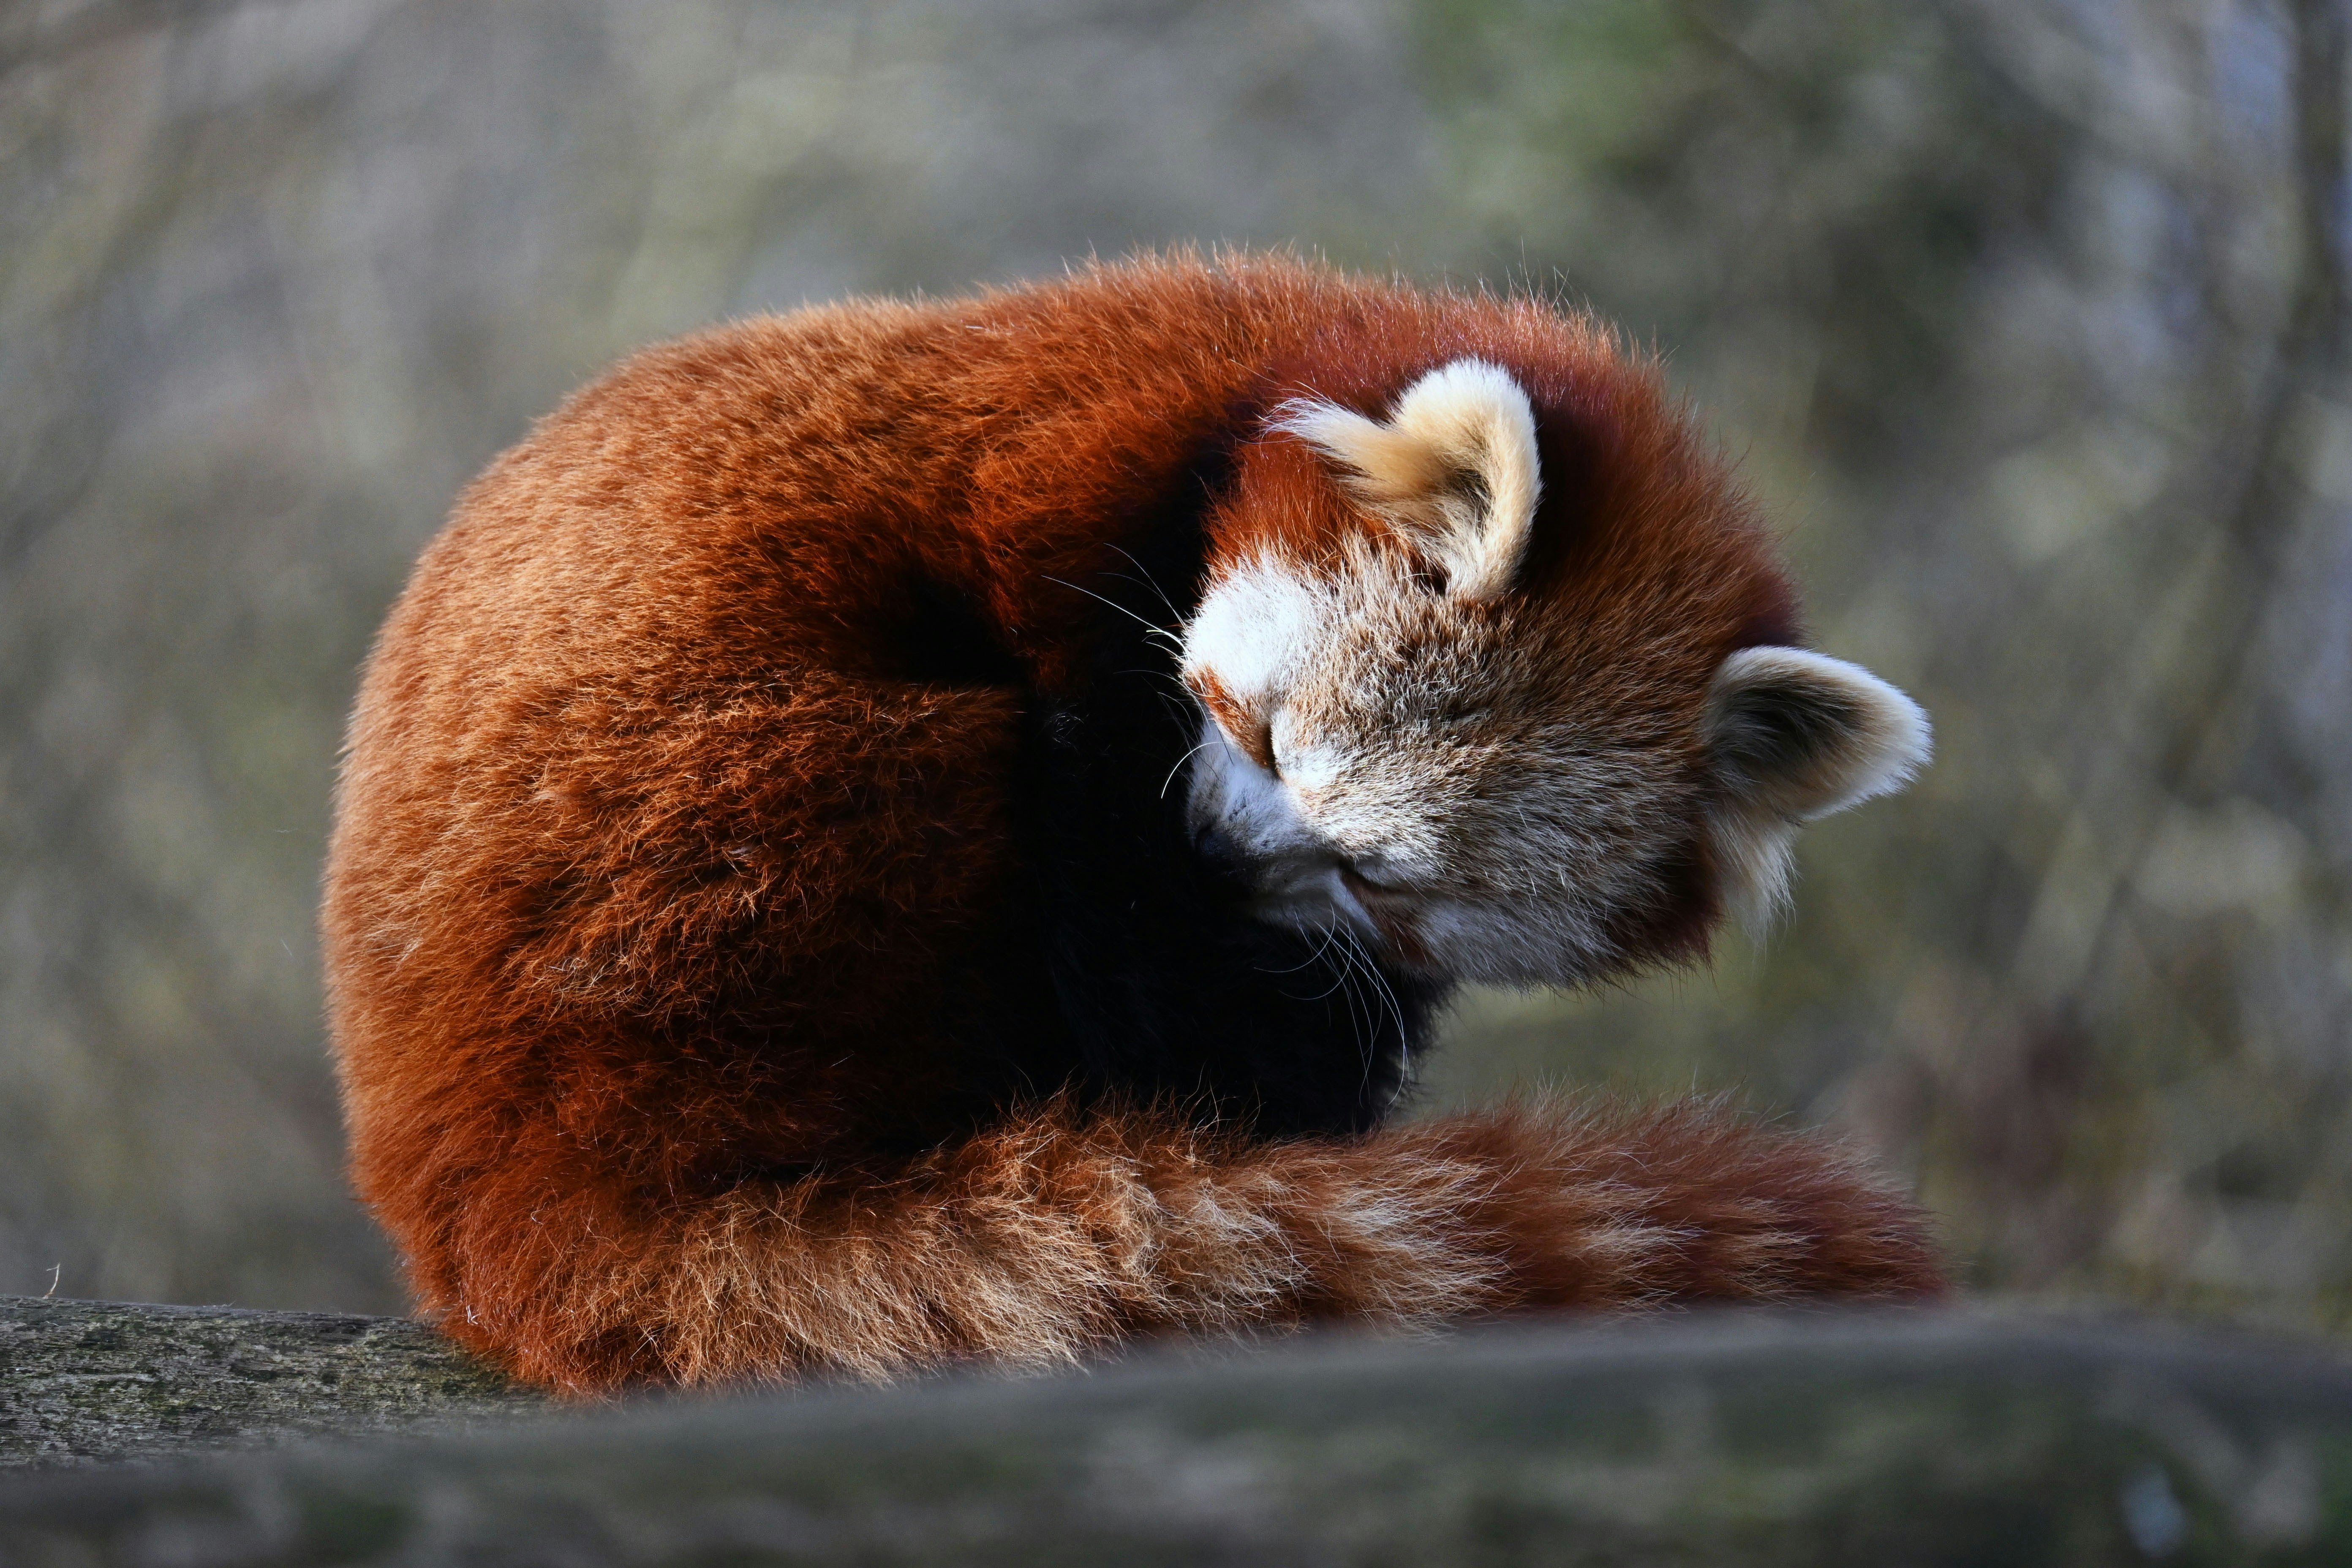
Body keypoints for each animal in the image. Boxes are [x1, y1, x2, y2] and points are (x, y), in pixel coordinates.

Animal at [323, 252, 1941, 1394]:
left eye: (1378, 878)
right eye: (1258, 732)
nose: (1219, 855)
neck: (1267, 382)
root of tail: (486, 1192)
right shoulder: (1069, 515)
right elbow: (1108, 891)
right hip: (709, 851)